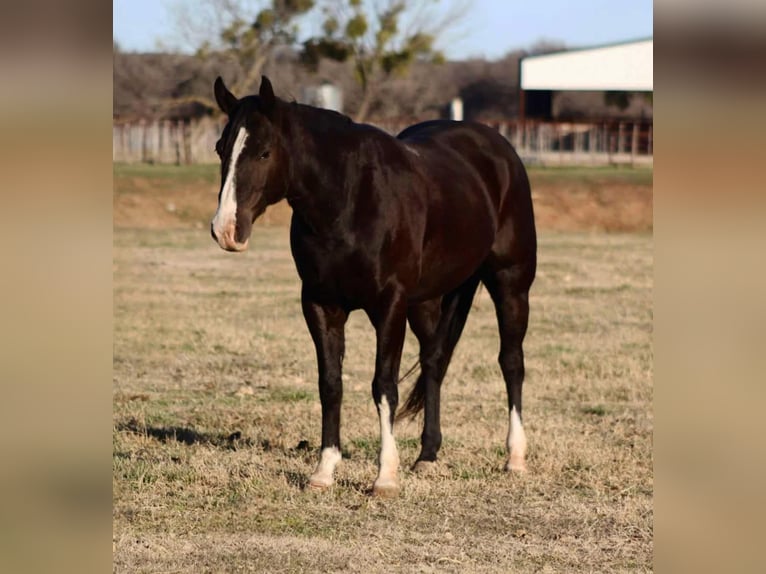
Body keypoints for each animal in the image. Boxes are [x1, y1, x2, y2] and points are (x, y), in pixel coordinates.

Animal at [210, 76, 537, 497]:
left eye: (264, 152)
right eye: (221, 148)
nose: (226, 229)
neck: (349, 201)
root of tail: (497, 147)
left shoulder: (389, 306)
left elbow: (384, 385)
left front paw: (385, 477)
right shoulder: (320, 304)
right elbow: (330, 384)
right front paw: (324, 471)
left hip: (510, 283)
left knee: (511, 363)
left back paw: (515, 458)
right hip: (427, 301)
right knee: (434, 363)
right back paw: (427, 456)